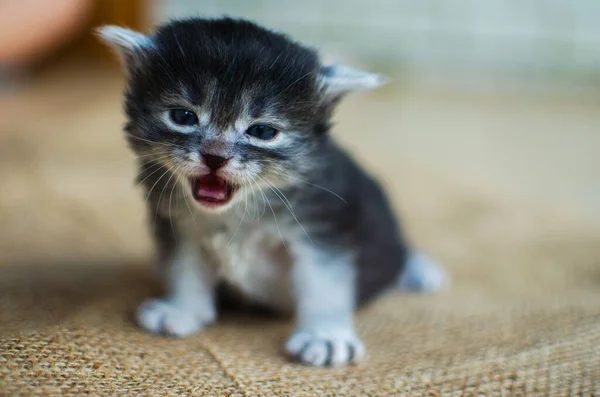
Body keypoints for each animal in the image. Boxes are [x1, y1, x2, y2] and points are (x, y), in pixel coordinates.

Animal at [97, 17, 446, 366]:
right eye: (183, 117)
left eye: (262, 132)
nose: (215, 157)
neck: (240, 209)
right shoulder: (176, 222)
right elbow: (184, 265)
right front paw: (183, 308)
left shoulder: (322, 224)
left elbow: (324, 281)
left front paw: (325, 335)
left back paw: (418, 269)